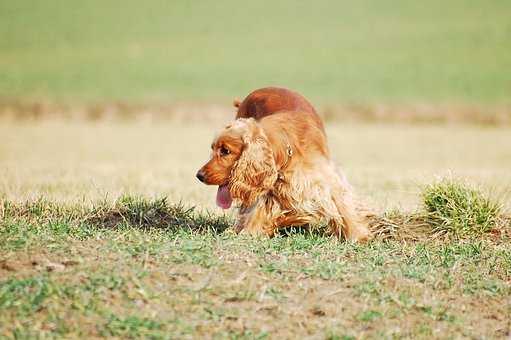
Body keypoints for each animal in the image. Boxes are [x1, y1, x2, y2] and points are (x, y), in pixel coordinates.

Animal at [197, 109, 372, 242]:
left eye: (225, 151)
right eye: (213, 148)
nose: (199, 175)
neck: (287, 152)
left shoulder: (327, 179)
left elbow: (343, 207)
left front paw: (358, 236)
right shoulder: (266, 188)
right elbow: (258, 210)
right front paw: (249, 232)